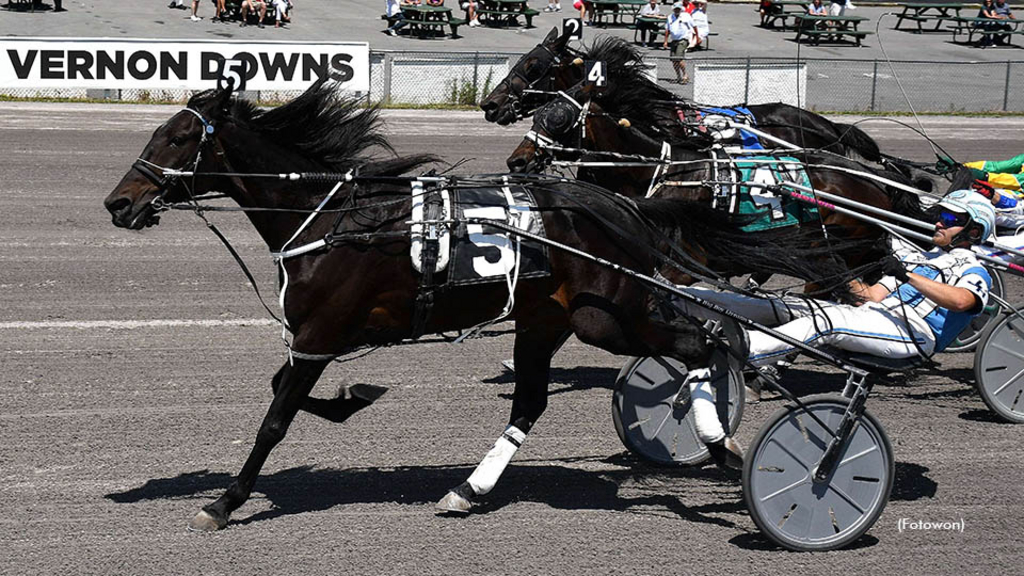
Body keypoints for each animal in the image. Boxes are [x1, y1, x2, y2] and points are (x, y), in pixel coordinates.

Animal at [103, 80, 856, 528]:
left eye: (176, 137)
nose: (118, 203)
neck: (333, 217)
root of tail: (618, 203)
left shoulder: (317, 334)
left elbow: (274, 420)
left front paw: (224, 502)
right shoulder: (317, 339)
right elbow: (286, 393)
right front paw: (355, 396)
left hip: (609, 313)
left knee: (708, 339)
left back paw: (729, 446)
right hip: (556, 318)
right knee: (539, 399)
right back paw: (469, 489)